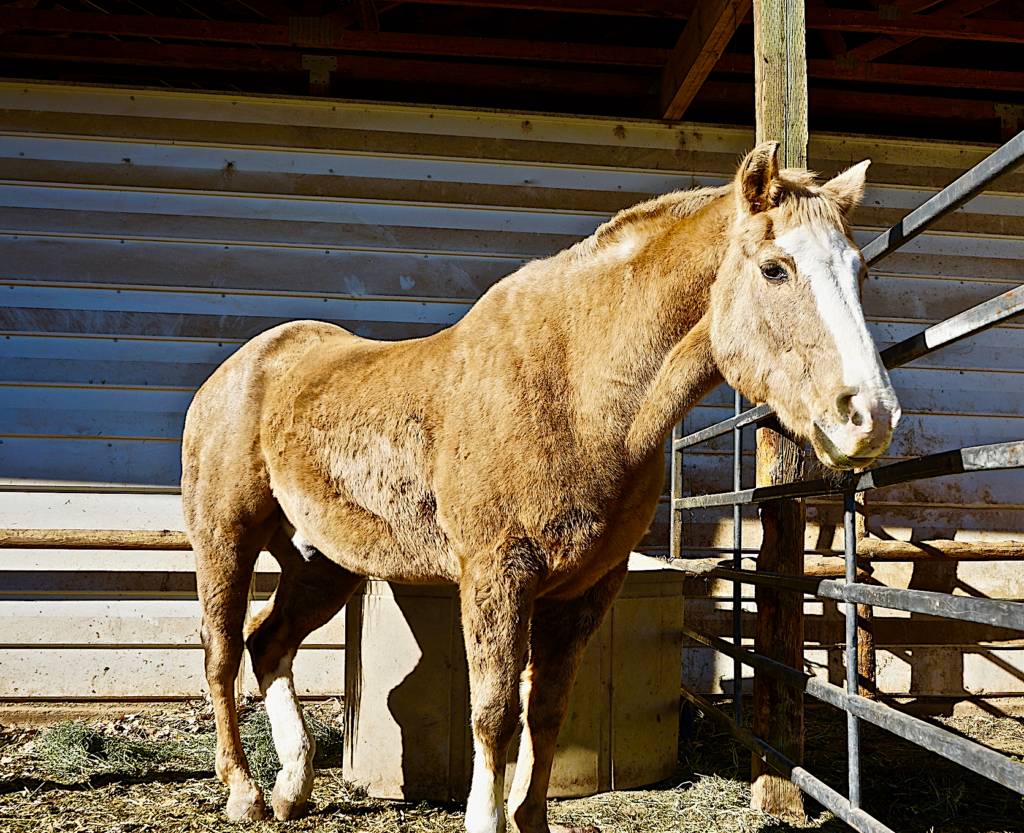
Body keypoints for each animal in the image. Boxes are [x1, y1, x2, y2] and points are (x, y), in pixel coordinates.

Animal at [182, 139, 897, 827]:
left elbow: (547, 710)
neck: (575, 393)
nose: (870, 415)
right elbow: (495, 714)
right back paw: (243, 793)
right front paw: (486, 817)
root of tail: (241, 367)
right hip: (225, 539)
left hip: (323, 563)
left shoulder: (586, 590)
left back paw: (291, 789)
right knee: (221, 652)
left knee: (269, 643)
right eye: (775, 268)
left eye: (860, 273)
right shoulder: (497, 575)